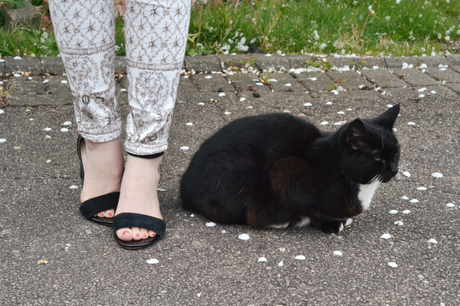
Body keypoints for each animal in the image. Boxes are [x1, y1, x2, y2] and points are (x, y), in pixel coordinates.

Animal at [180, 105, 398, 234]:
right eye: (377, 157)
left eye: (396, 152)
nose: (395, 169)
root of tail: (185, 186)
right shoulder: (285, 173)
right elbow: (310, 210)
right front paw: (330, 223)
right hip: (242, 160)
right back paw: (277, 221)